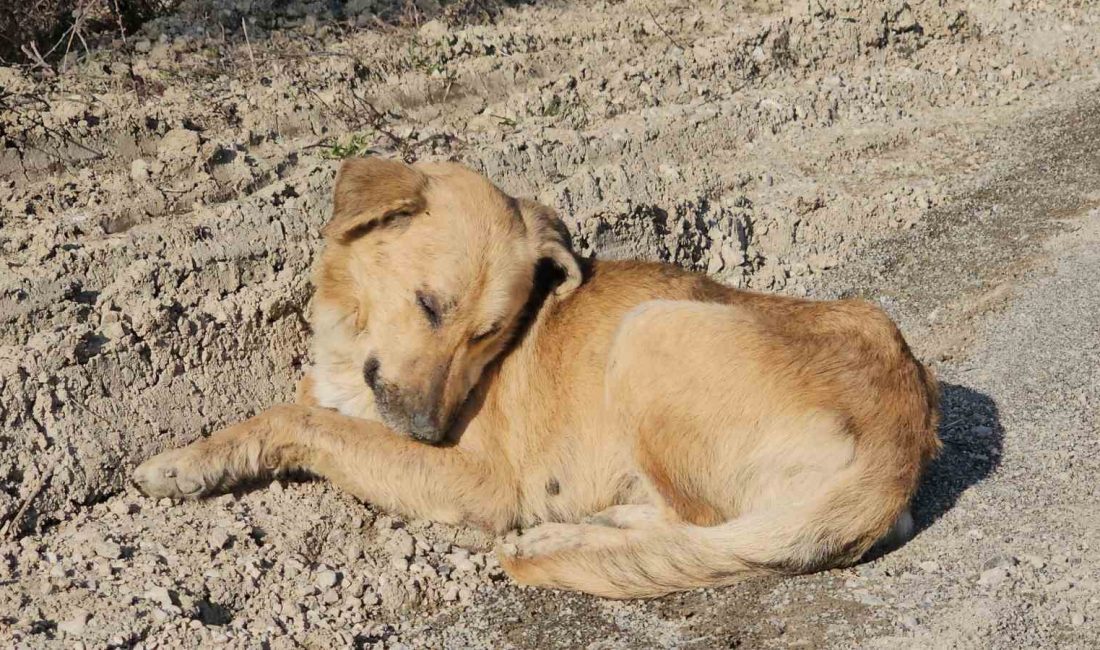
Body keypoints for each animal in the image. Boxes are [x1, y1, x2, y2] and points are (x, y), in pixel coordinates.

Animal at [133, 157, 941, 598]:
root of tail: (904, 431)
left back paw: (564, 539)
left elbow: (297, 420)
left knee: (705, 526)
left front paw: (183, 464)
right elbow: (299, 411)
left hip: (651, 330)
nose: (428, 432)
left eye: (490, 332)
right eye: (430, 305)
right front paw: (200, 455)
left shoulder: (476, 480)